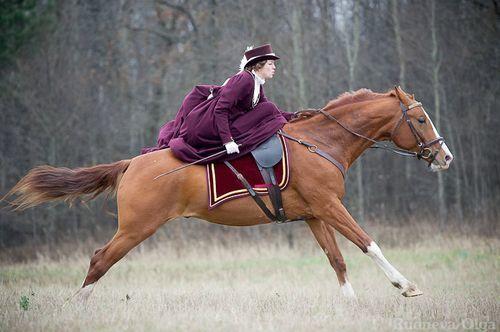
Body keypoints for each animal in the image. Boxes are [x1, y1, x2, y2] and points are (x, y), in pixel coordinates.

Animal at [3, 85, 456, 300]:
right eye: (420, 118)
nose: (445, 157)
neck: (321, 142)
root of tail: (132, 163)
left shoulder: (315, 214)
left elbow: (337, 260)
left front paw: (351, 305)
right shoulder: (330, 206)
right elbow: (368, 244)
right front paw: (405, 285)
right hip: (136, 228)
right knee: (100, 260)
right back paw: (78, 305)